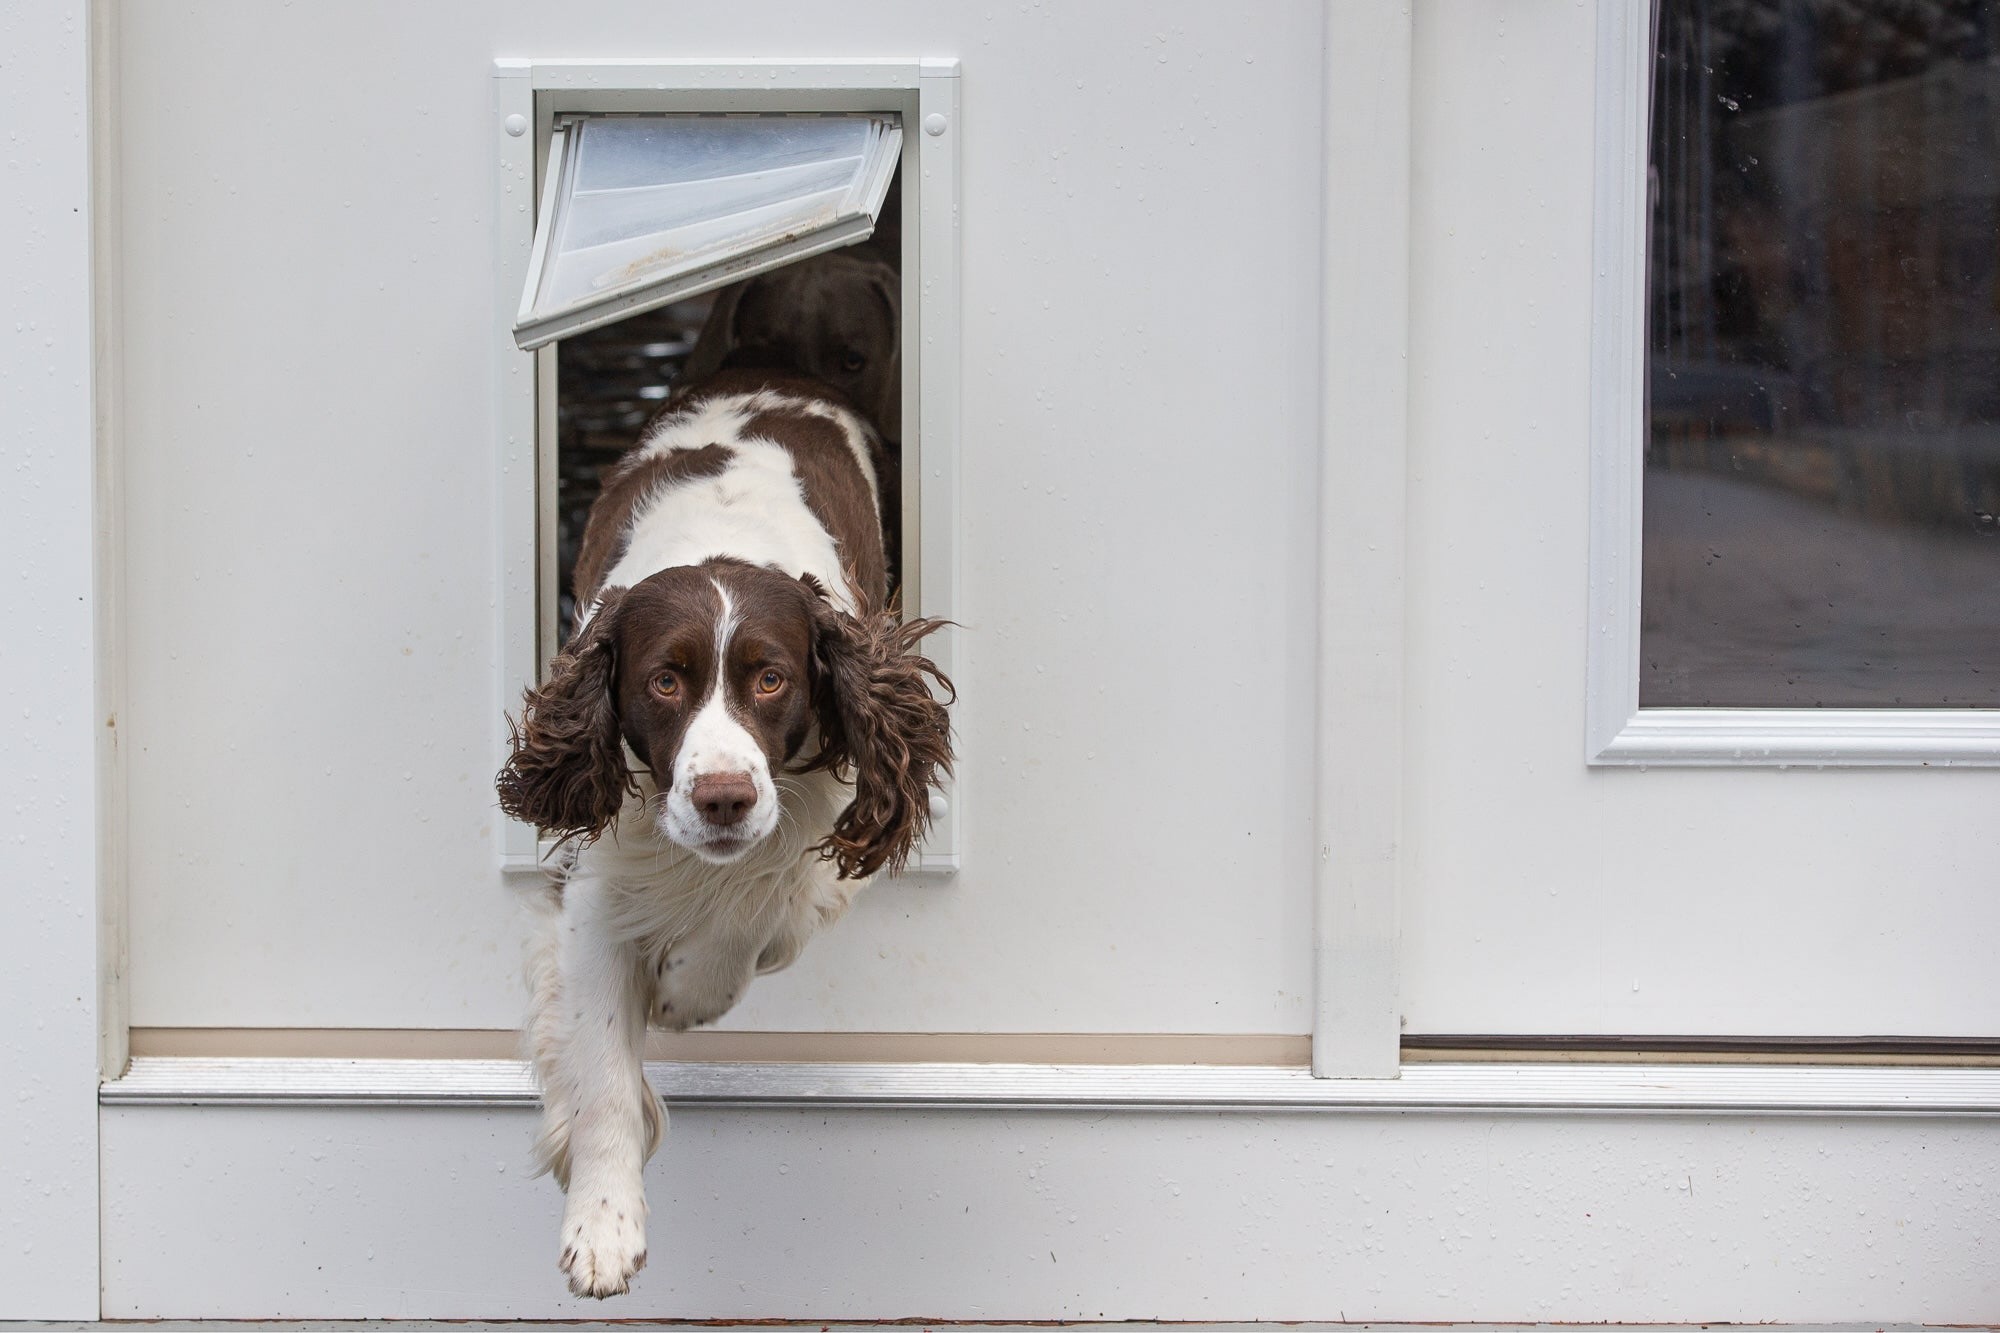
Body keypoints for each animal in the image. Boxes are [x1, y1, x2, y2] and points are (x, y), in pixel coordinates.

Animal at [492, 366, 944, 1296]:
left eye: (771, 677)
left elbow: (749, 914)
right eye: (665, 681)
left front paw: (681, 992)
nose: (724, 798)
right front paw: (603, 1224)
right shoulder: (595, 880)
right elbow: (600, 1069)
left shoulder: (813, 837)